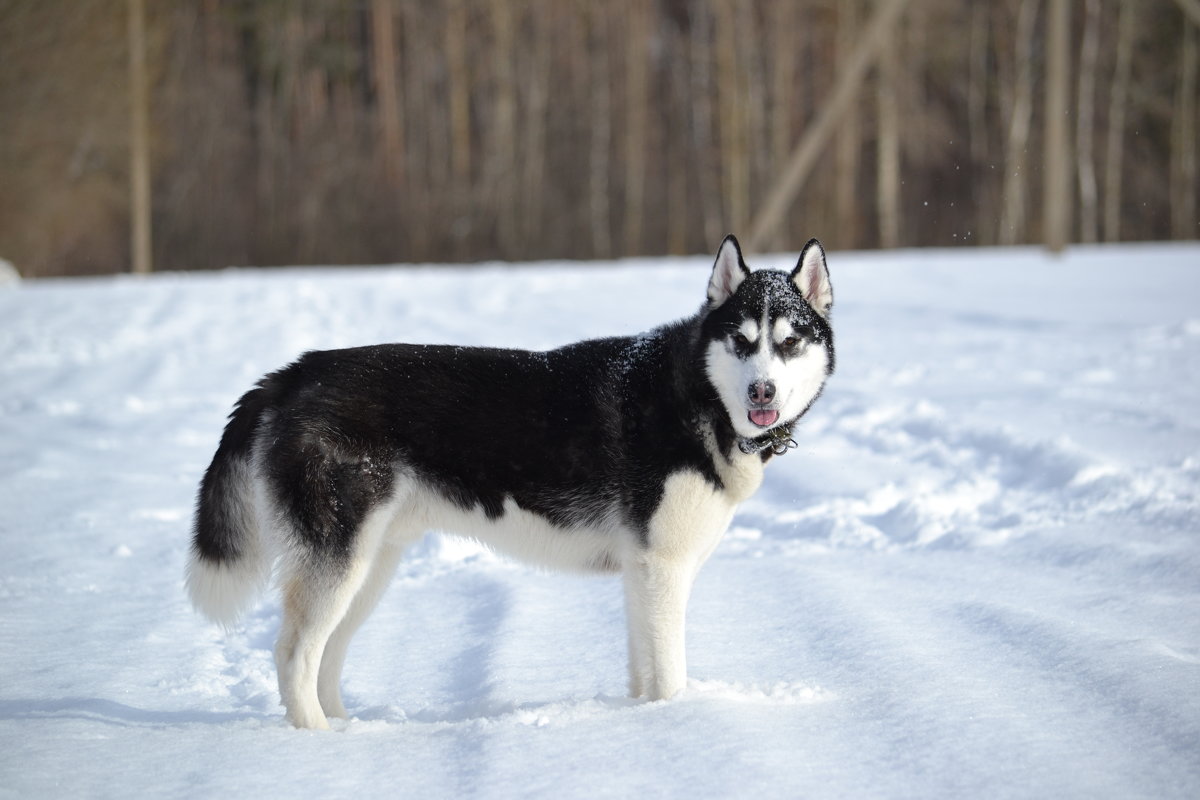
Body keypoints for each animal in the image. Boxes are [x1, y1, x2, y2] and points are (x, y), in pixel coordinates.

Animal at [184, 235, 835, 729]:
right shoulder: (663, 567)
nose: (762, 392)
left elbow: (644, 672)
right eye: (742, 341)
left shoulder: (643, 572)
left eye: (789, 342)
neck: (696, 397)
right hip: (339, 560)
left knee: (328, 654)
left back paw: (348, 728)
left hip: (371, 565)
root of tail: (292, 374)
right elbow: (669, 677)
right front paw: (677, 724)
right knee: (294, 654)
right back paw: (317, 741)